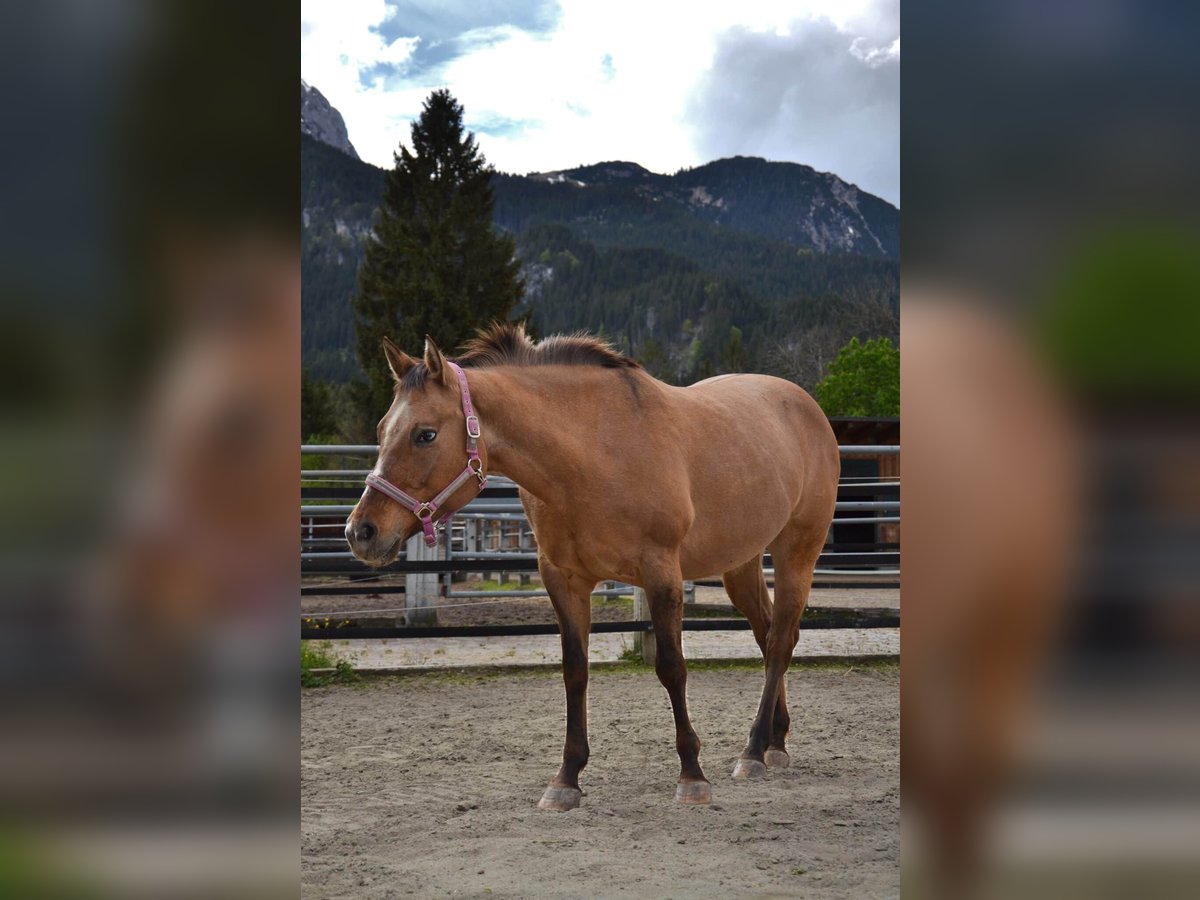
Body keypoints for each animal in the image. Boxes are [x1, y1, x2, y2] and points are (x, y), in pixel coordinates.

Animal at [343, 328, 840, 816]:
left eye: (425, 434)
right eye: (383, 429)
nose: (360, 531)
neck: (593, 453)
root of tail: (807, 405)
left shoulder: (662, 574)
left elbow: (671, 667)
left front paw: (692, 775)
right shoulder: (564, 581)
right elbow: (575, 672)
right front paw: (566, 778)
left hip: (797, 550)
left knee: (779, 641)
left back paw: (754, 750)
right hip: (741, 562)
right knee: (768, 635)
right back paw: (775, 740)